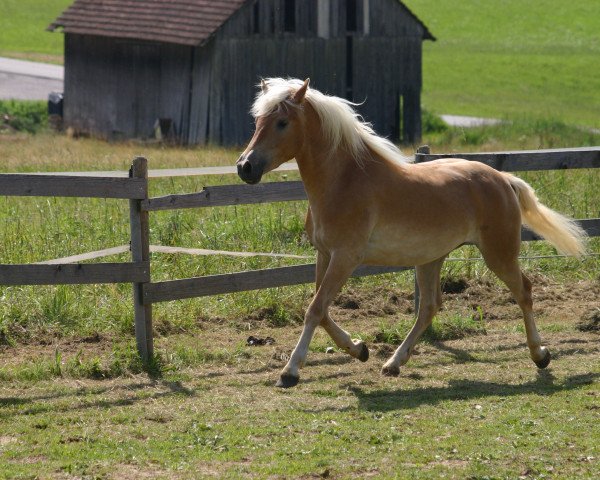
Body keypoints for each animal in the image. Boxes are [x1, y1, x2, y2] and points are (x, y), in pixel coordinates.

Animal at [236, 77, 584, 388]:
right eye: (257, 120)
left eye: (282, 122)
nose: (245, 167)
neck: (345, 181)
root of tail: (503, 179)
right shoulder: (325, 254)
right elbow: (320, 311)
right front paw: (360, 349)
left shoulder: (346, 257)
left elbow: (315, 309)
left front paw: (290, 372)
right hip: (431, 258)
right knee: (430, 306)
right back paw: (393, 363)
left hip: (499, 253)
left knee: (523, 291)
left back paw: (540, 355)